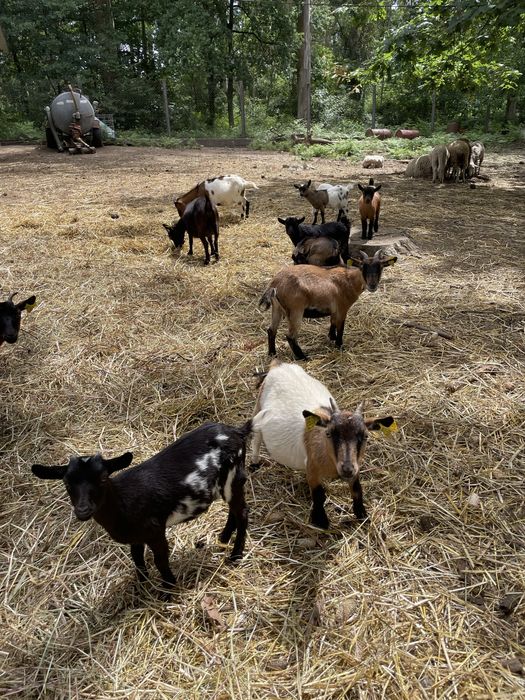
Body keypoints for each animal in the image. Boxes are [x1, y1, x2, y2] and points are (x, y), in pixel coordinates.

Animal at [31, 420, 251, 590]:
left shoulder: (155, 530)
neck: (122, 503)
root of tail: (238, 431)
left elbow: (160, 560)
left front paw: (168, 588)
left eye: (103, 478)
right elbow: (136, 557)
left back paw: (235, 555)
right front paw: (142, 585)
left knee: (242, 512)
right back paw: (223, 538)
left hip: (233, 477)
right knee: (233, 510)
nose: (83, 510)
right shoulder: (136, 536)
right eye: (67, 483)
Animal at [250, 360, 395, 529]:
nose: (346, 468)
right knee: (256, 438)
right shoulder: (312, 468)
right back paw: (254, 464)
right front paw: (321, 521)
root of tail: (277, 365)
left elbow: (357, 490)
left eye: (365, 436)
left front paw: (362, 515)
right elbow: (319, 495)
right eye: (329, 433)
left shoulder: (355, 467)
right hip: (258, 409)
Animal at [259, 250, 397, 360]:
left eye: (381, 267)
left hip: (277, 309)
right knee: (290, 336)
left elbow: (333, 322)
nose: (372, 285)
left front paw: (332, 337)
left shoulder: (334, 309)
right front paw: (339, 345)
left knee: (271, 330)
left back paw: (272, 354)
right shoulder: (342, 308)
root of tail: (275, 284)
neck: (349, 280)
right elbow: (340, 327)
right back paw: (303, 357)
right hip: (296, 310)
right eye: (363, 266)